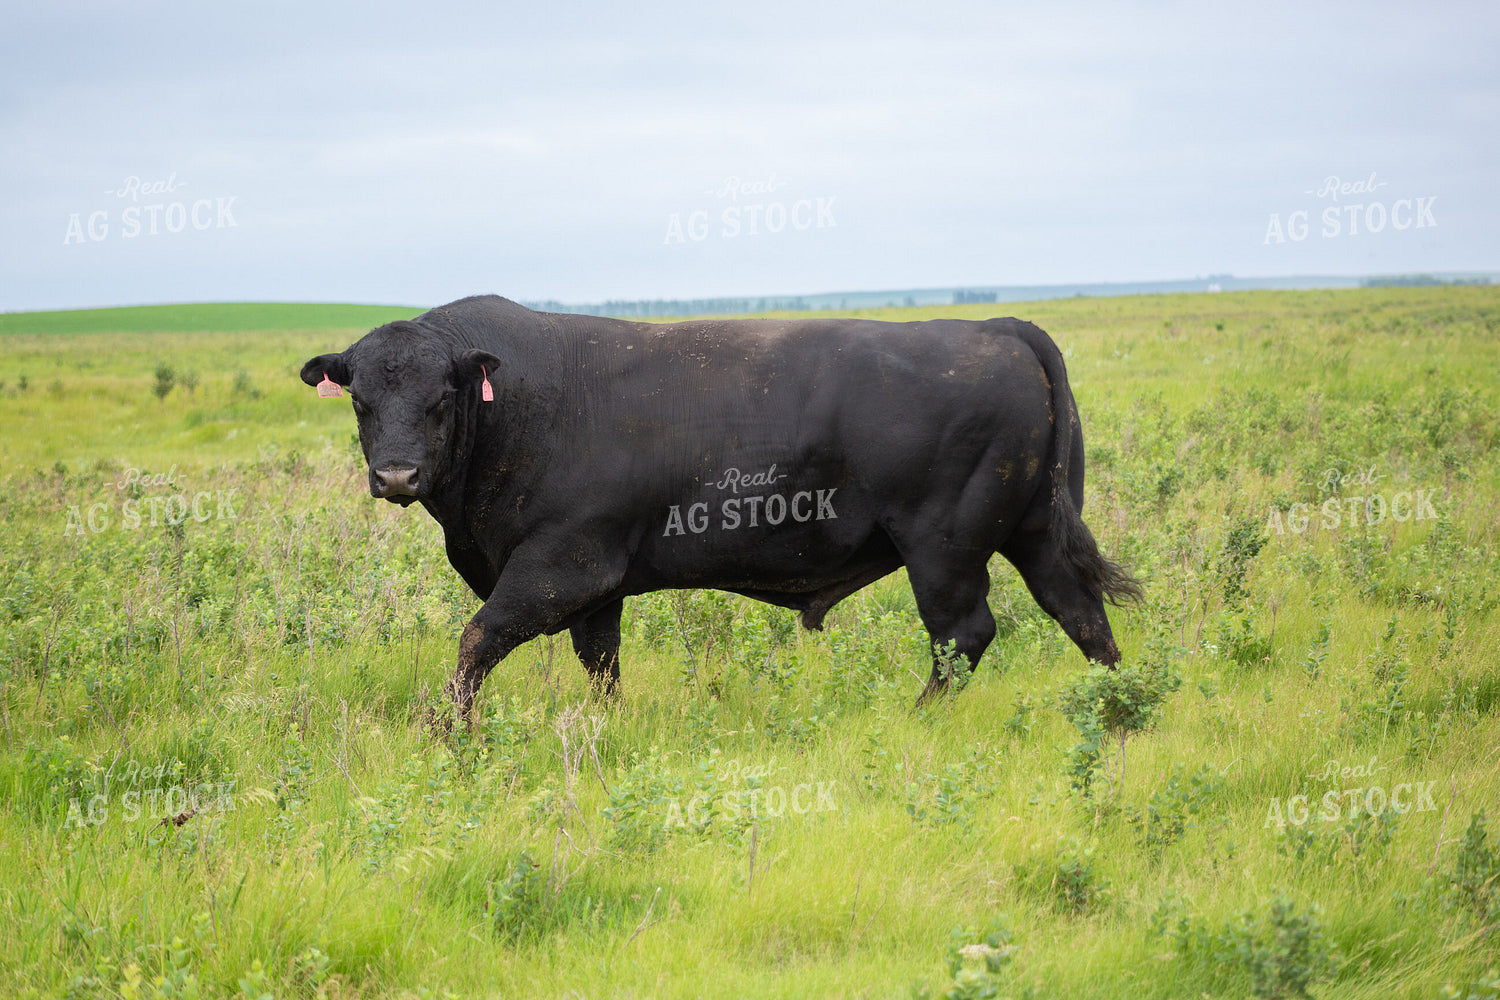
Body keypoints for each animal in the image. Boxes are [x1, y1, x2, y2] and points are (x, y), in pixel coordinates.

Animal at [300, 294, 1140, 715]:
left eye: (442, 398)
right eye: (362, 400)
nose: (398, 476)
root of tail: (993, 326)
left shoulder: (560, 566)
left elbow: (477, 641)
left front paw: (451, 733)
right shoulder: (599, 587)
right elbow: (600, 664)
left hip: (943, 546)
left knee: (962, 635)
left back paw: (918, 717)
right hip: (1033, 529)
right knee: (1080, 612)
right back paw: (1120, 703)